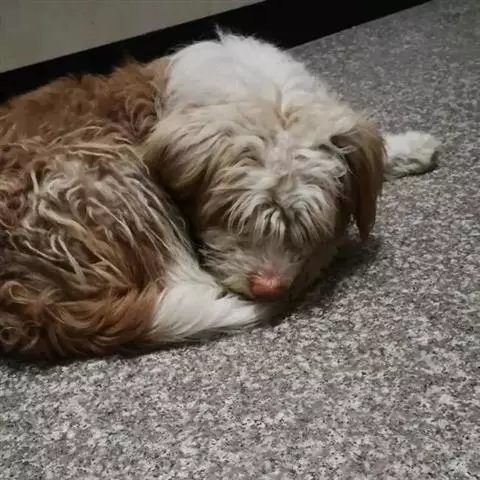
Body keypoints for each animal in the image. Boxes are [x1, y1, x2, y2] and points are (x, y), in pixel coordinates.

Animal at [0, 33, 440, 358]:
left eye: (306, 222)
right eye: (231, 215)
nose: (269, 288)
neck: (268, 96)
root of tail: (24, 303)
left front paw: (413, 147)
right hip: (111, 173)